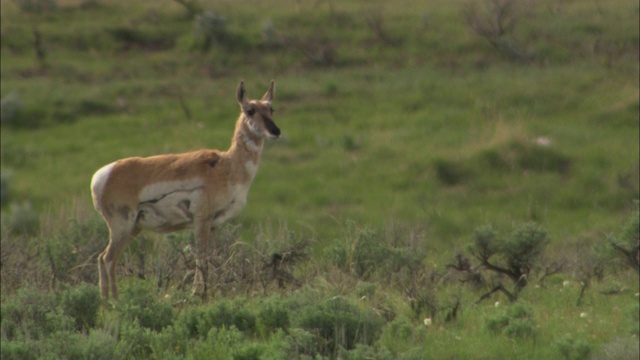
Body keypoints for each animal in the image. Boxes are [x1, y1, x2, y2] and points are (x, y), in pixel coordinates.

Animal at [92, 81, 280, 298]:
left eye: (270, 109)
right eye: (250, 110)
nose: (275, 130)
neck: (227, 166)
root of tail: (103, 175)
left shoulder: (215, 225)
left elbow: (212, 258)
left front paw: (210, 292)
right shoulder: (202, 220)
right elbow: (201, 257)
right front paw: (197, 293)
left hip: (133, 228)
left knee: (104, 258)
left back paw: (106, 299)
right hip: (122, 226)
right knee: (107, 259)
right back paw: (114, 300)